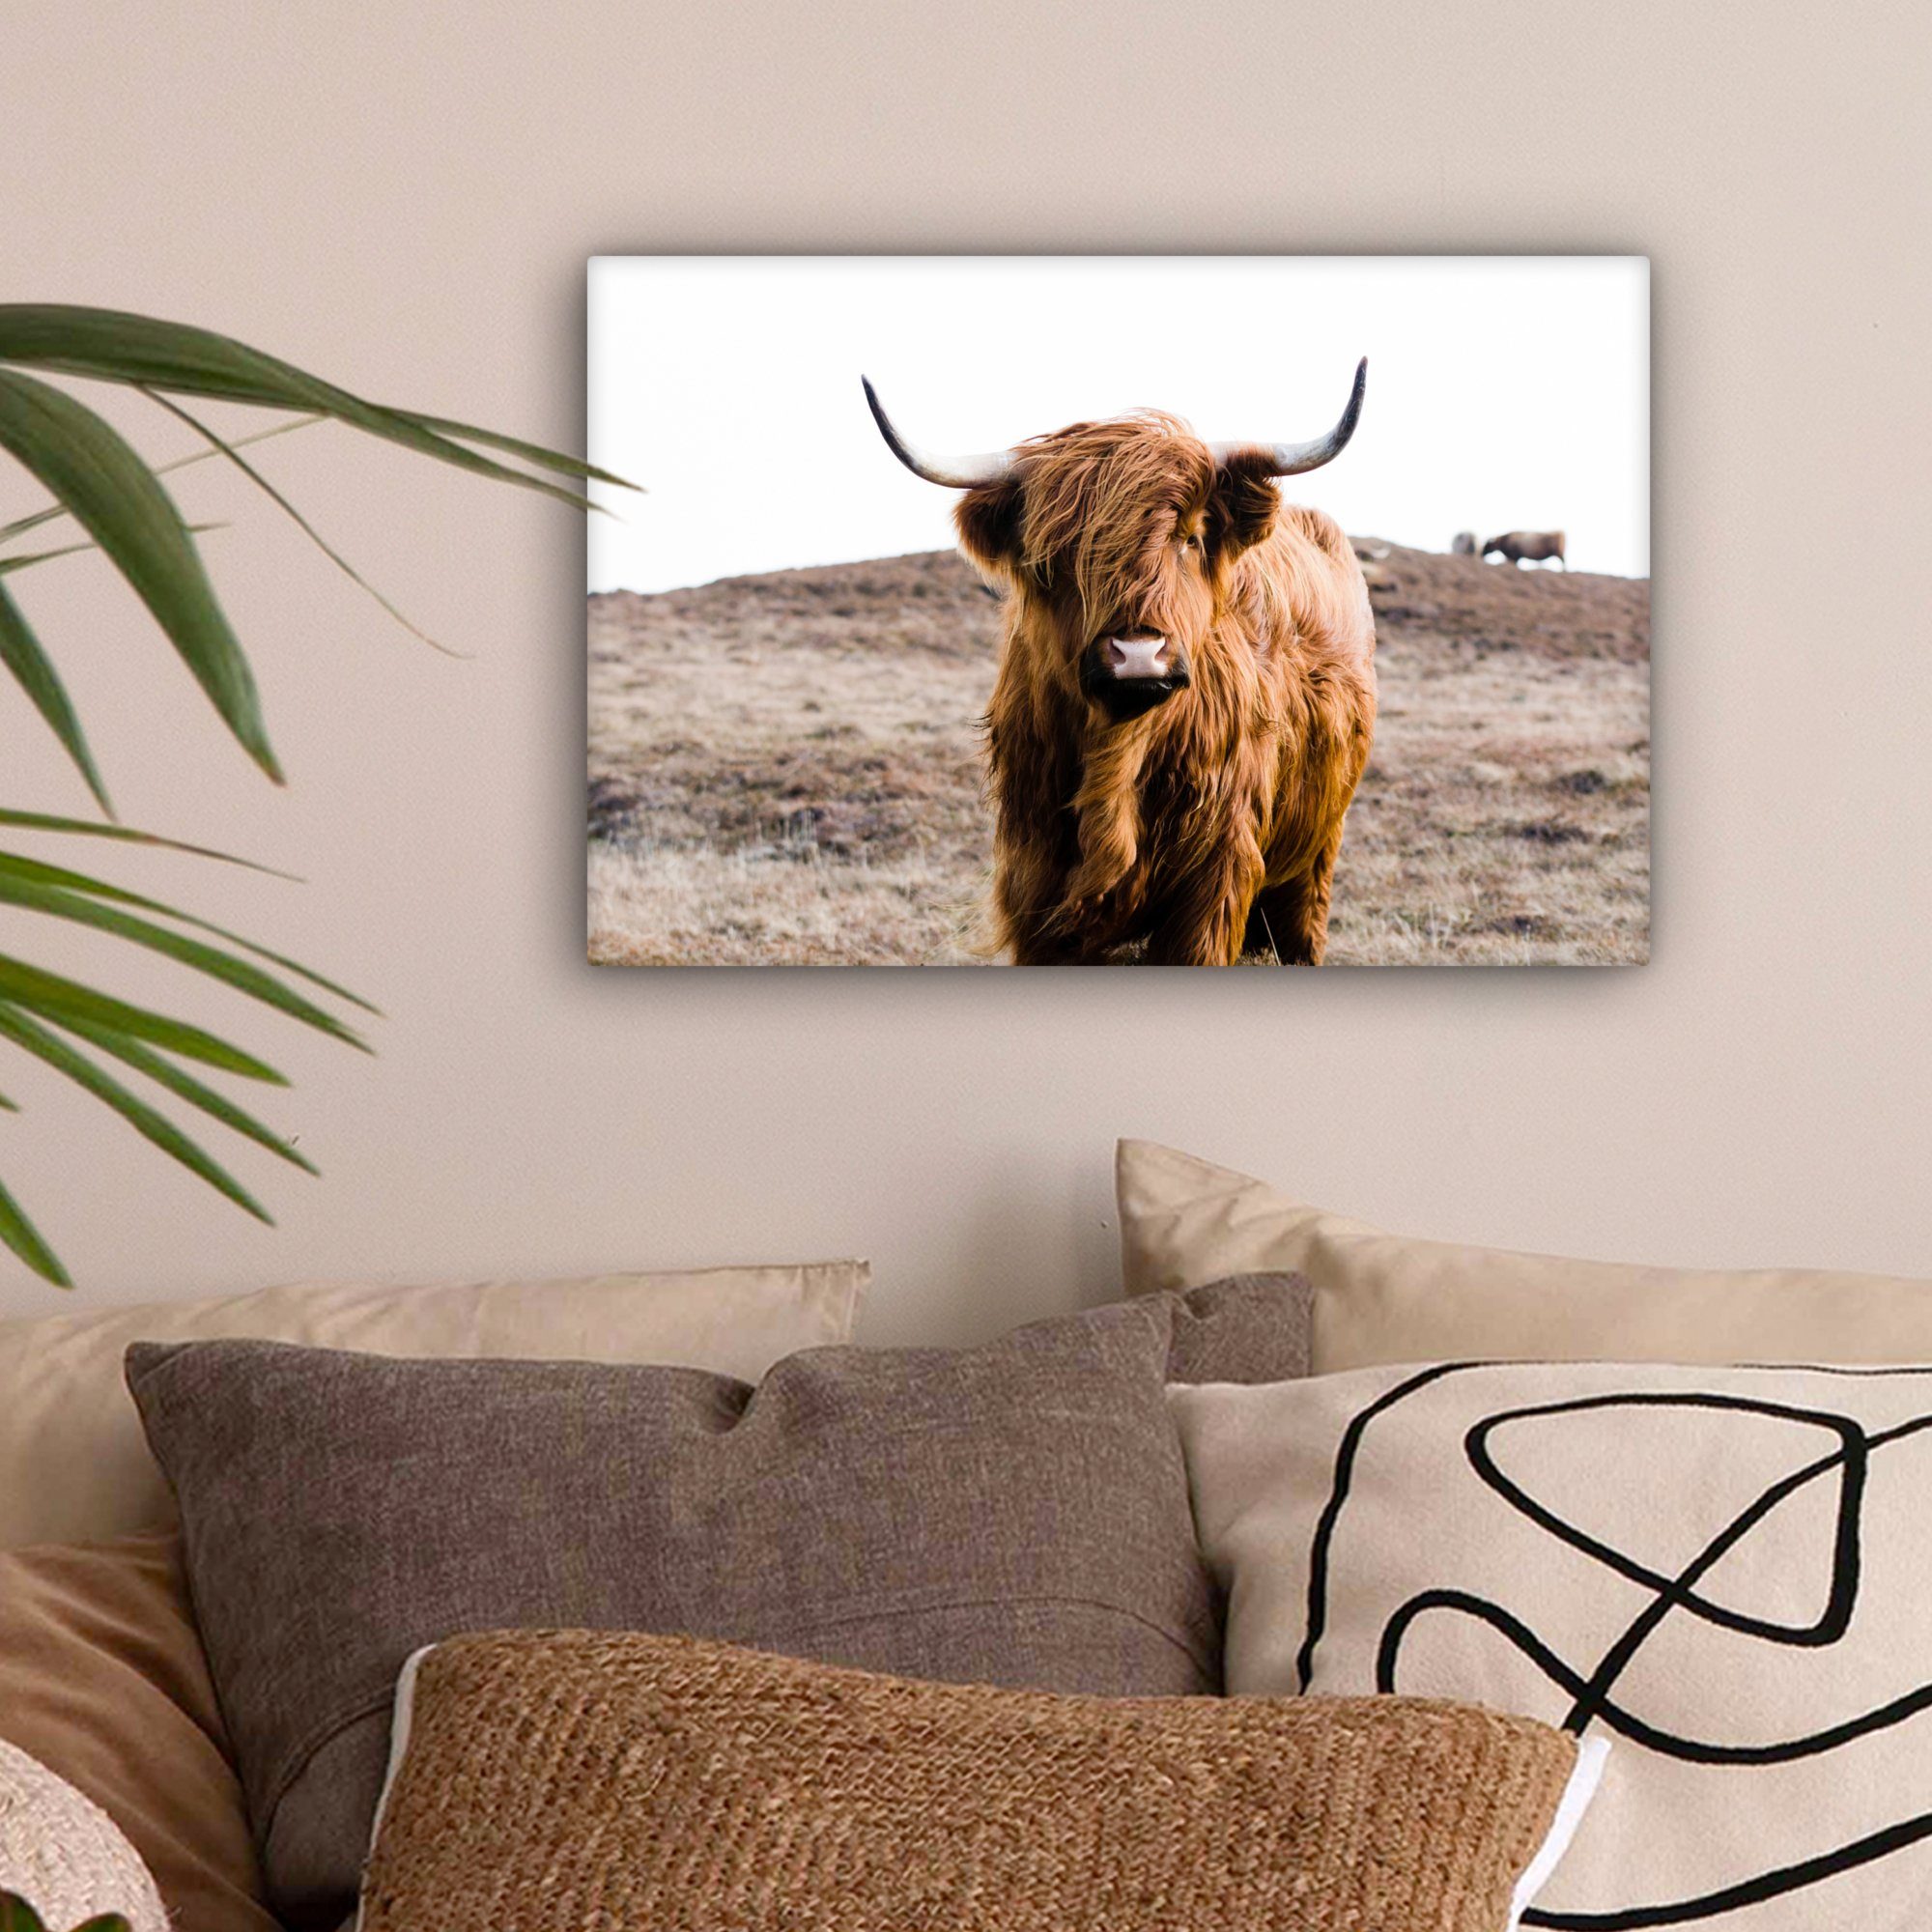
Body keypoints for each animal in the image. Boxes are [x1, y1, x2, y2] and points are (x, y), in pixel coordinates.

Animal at [863, 363, 1376, 966]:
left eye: (1191, 538)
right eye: (1054, 556)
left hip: (1316, 850)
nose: (1137, 655)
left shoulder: (1214, 881)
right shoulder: (1036, 885)